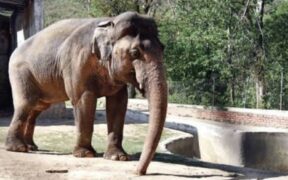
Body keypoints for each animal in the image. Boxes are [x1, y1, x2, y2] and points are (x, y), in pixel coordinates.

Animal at [4, 11, 168, 175]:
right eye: (135, 52)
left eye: (163, 47)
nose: (138, 172)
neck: (110, 21)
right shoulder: (76, 62)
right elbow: (84, 99)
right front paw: (85, 154)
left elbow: (118, 103)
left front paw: (117, 157)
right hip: (20, 72)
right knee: (25, 104)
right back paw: (18, 148)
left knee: (36, 108)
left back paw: (31, 146)